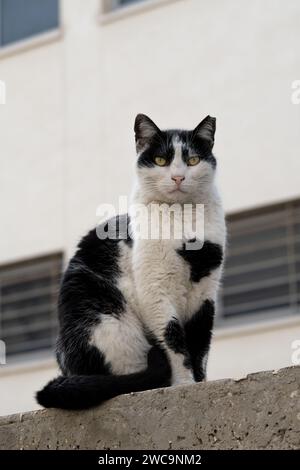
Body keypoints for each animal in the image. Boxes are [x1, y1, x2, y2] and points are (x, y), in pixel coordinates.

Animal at [35, 114, 225, 408]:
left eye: (193, 160)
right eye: (161, 160)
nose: (178, 177)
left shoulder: (205, 295)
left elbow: (200, 348)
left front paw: (201, 383)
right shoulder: (154, 292)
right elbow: (174, 343)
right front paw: (184, 385)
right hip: (113, 327)